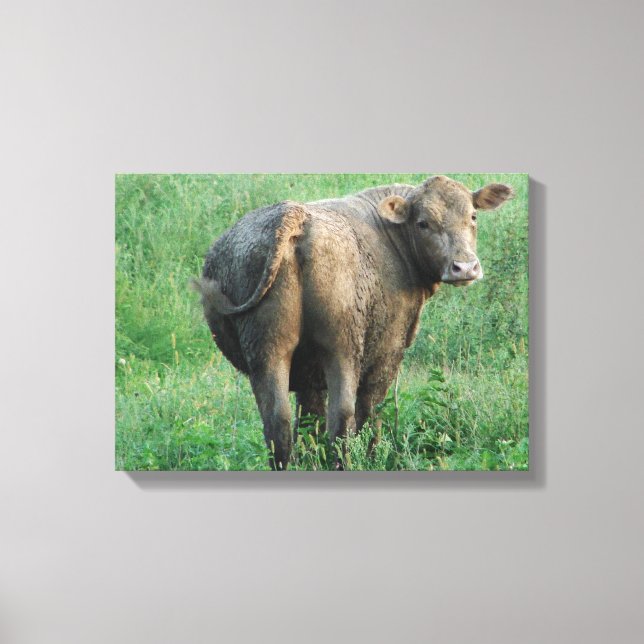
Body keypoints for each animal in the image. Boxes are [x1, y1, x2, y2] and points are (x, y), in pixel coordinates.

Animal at [195, 175, 513, 469]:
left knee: (278, 419)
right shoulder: (388, 350)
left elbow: (309, 417)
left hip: (268, 349)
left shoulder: (308, 375)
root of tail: (293, 217)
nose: (465, 267)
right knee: (343, 413)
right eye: (423, 223)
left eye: (472, 216)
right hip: (342, 346)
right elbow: (371, 408)